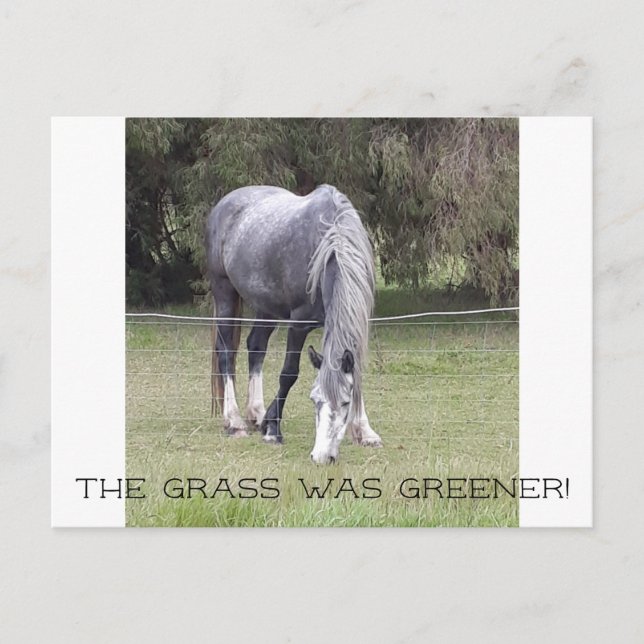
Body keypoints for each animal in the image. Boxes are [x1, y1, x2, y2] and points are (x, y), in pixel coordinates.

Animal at [205, 184, 383, 464]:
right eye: (314, 400)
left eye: (345, 403)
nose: (321, 457)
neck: (331, 245)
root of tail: (224, 203)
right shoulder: (298, 324)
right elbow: (289, 373)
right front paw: (273, 430)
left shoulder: (359, 325)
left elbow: (357, 374)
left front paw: (365, 431)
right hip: (224, 293)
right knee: (225, 352)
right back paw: (234, 421)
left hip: (266, 306)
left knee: (256, 346)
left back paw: (255, 413)